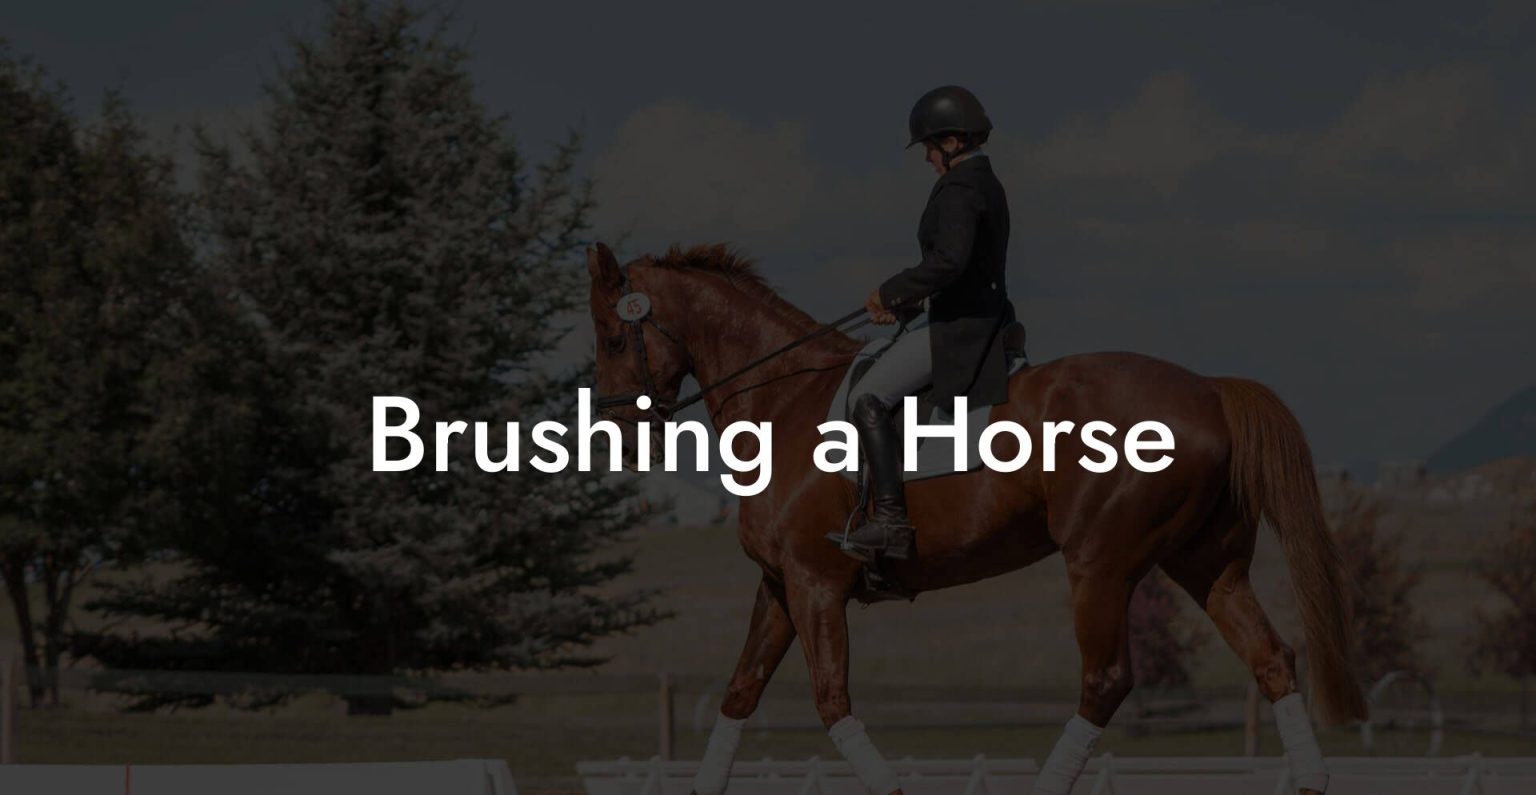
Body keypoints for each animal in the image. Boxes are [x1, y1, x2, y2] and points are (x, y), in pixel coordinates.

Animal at [585, 242, 1366, 795]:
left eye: (614, 339)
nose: (619, 436)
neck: (782, 399)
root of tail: (1207, 388)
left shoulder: (815, 586)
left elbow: (833, 702)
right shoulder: (781, 586)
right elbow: (741, 691)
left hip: (1100, 563)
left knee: (1106, 680)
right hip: (1207, 562)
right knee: (1271, 657)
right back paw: (1309, 779)